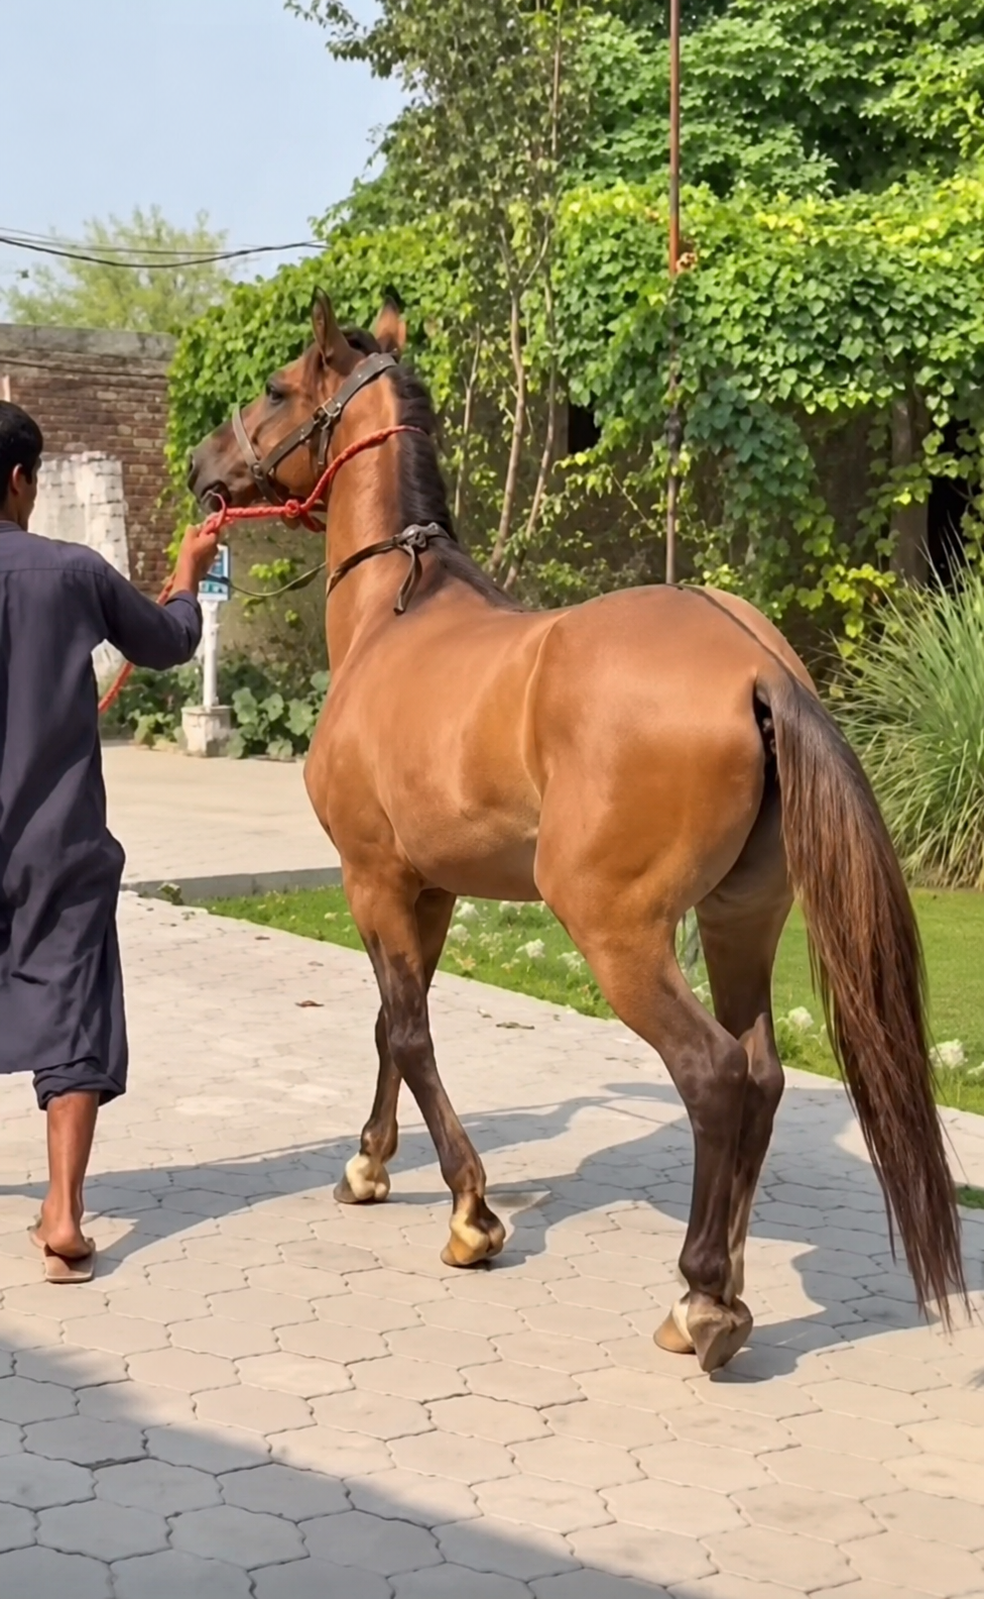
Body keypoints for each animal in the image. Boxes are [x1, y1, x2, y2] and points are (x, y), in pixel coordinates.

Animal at [189, 289, 966, 1373]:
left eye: (272, 388)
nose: (201, 465)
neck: (398, 614)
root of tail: (758, 666)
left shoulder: (370, 877)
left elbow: (409, 1030)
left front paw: (471, 1214)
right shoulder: (431, 889)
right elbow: (393, 1024)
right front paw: (368, 1165)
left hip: (616, 931)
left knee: (714, 1075)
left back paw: (702, 1299)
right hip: (740, 920)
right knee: (762, 1075)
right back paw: (723, 1288)